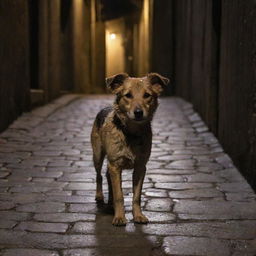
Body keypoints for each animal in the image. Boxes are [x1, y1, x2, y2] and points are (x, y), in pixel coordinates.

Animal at [91, 72, 169, 226]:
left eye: (147, 95)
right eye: (128, 95)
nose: (138, 112)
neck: (131, 134)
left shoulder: (140, 167)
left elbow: (136, 196)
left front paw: (138, 216)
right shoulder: (115, 165)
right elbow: (119, 195)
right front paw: (120, 217)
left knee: (107, 176)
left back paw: (110, 203)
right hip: (97, 155)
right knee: (99, 175)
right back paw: (100, 196)